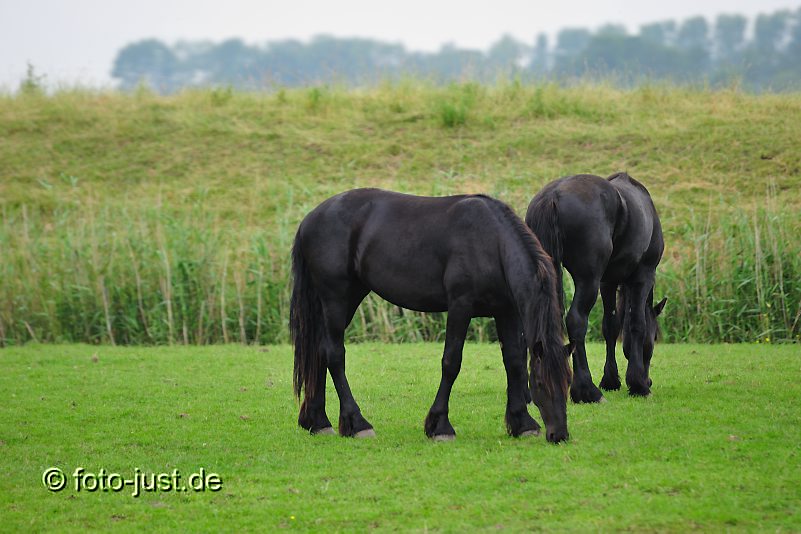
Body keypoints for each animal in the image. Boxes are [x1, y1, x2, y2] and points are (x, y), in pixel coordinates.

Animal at [290, 188, 573, 443]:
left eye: (567, 382)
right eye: (540, 384)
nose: (559, 434)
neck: (491, 242)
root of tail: (308, 220)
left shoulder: (506, 311)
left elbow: (514, 361)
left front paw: (522, 423)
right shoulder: (460, 306)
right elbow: (451, 362)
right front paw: (440, 426)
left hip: (348, 297)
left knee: (319, 351)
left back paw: (318, 422)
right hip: (336, 299)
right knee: (334, 355)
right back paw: (357, 423)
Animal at [525, 173, 666, 402]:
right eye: (654, 338)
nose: (650, 380)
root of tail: (552, 196)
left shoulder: (607, 282)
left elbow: (611, 326)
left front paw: (611, 380)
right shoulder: (643, 276)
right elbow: (637, 323)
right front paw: (638, 384)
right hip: (588, 280)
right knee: (576, 320)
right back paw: (586, 390)